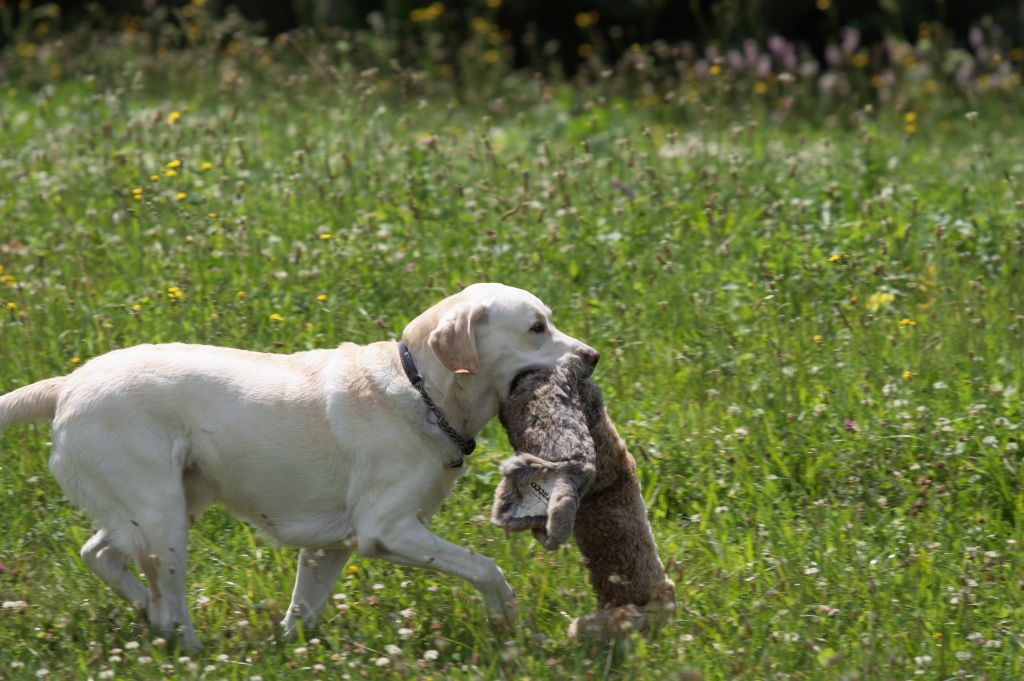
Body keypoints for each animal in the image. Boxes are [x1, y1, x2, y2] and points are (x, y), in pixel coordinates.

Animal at [0, 280, 598, 647]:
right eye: (537, 327)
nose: (593, 355)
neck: (421, 391)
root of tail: (67, 384)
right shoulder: (387, 530)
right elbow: (486, 567)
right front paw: (506, 617)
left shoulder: (328, 548)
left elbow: (302, 614)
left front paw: (289, 650)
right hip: (162, 516)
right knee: (164, 599)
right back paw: (187, 646)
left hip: (162, 508)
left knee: (101, 554)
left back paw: (149, 618)